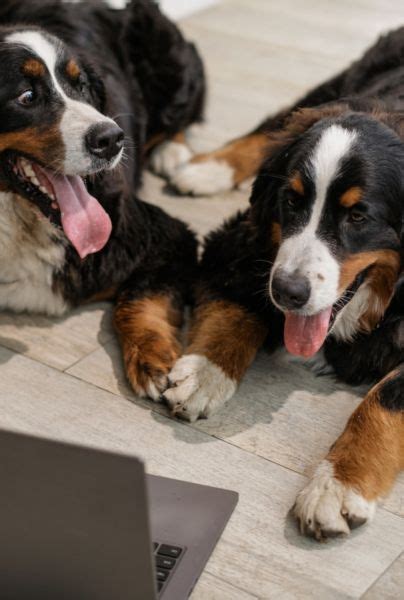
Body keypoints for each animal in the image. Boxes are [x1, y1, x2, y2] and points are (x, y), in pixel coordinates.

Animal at [0, 0, 205, 400]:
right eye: (27, 96)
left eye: (81, 86)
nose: (112, 138)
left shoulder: (166, 236)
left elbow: (138, 300)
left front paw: (152, 359)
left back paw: (172, 153)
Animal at [159, 29, 404, 544]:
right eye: (291, 201)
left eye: (358, 216)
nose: (289, 292)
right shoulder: (241, 243)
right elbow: (239, 308)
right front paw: (206, 373)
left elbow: (382, 401)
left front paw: (338, 484)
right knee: (272, 128)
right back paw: (205, 168)